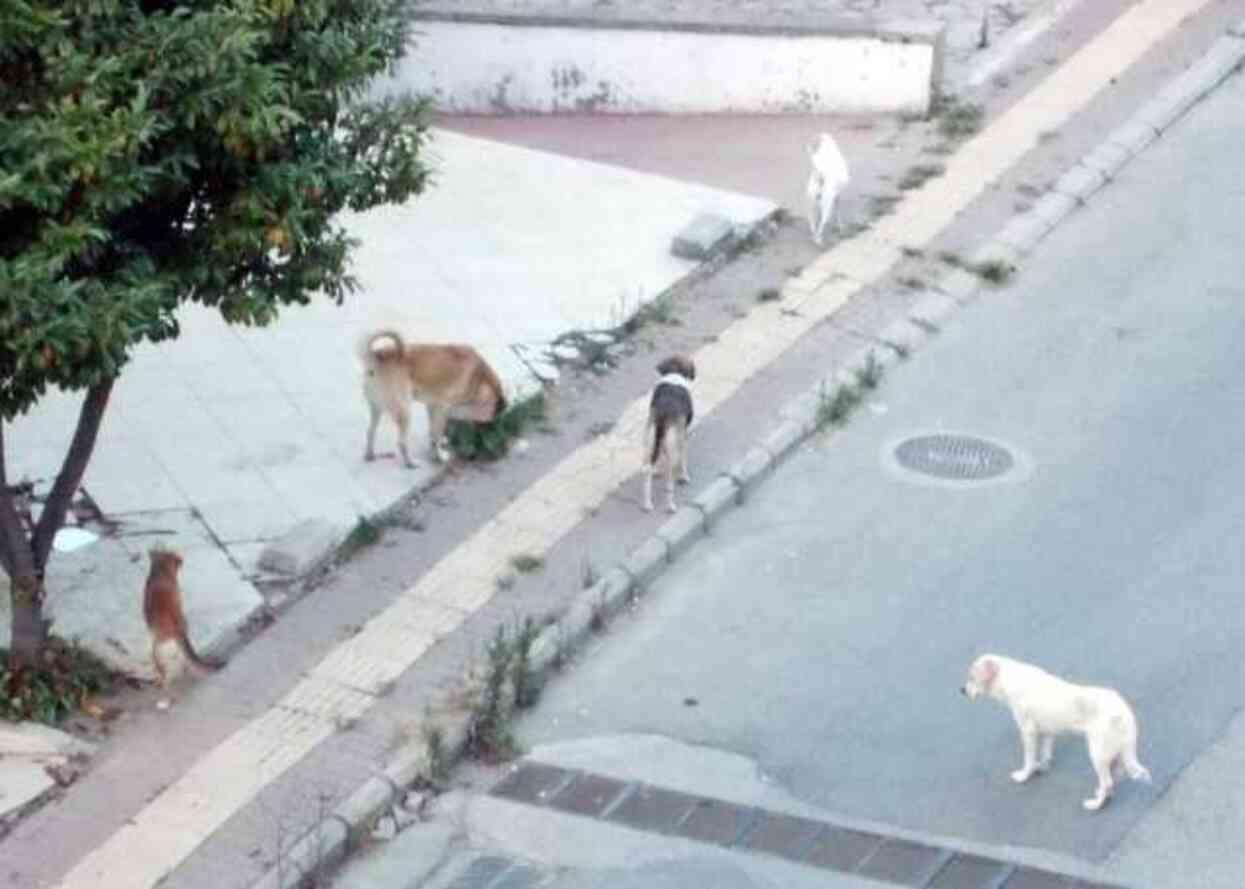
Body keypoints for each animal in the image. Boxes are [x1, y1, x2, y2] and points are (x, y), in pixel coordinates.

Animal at [358, 326, 507, 463]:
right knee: (401, 442)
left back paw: (369, 455)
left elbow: (432, 434)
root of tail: (376, 357)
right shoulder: (442, 409)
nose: (492, 432)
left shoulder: (432, 407)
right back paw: (410, 463)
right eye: (492, 418)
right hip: (404, 411)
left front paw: (434, 452)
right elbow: (437, 435)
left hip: (377, 408)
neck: (480, 379)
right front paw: (440, 457)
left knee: (370, 432)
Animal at [647, 348, 697, 507]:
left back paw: (647, 504)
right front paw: (684, 477)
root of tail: (663, 415)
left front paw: (657, 470)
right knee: (669, 483)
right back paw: (670, 506)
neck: (674, 373)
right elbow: (683, 460)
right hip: (672, 449)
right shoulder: (682, 437)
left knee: (647, 477)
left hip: (648, 443)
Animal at [956, 652, 1150, 811]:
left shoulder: (1028, 732)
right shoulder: (1047, 732)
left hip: (1097, 752)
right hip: (1112, 752)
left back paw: (1096, 804)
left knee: (1108, 781)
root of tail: (1124, 710)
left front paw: (1025, 775)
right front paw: (1041, 767)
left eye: (972, 677)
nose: (962, 690)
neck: (1009, 678)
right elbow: (1044, 754)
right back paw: (1102, 795)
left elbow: (1028, 759)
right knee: (1114, 776)